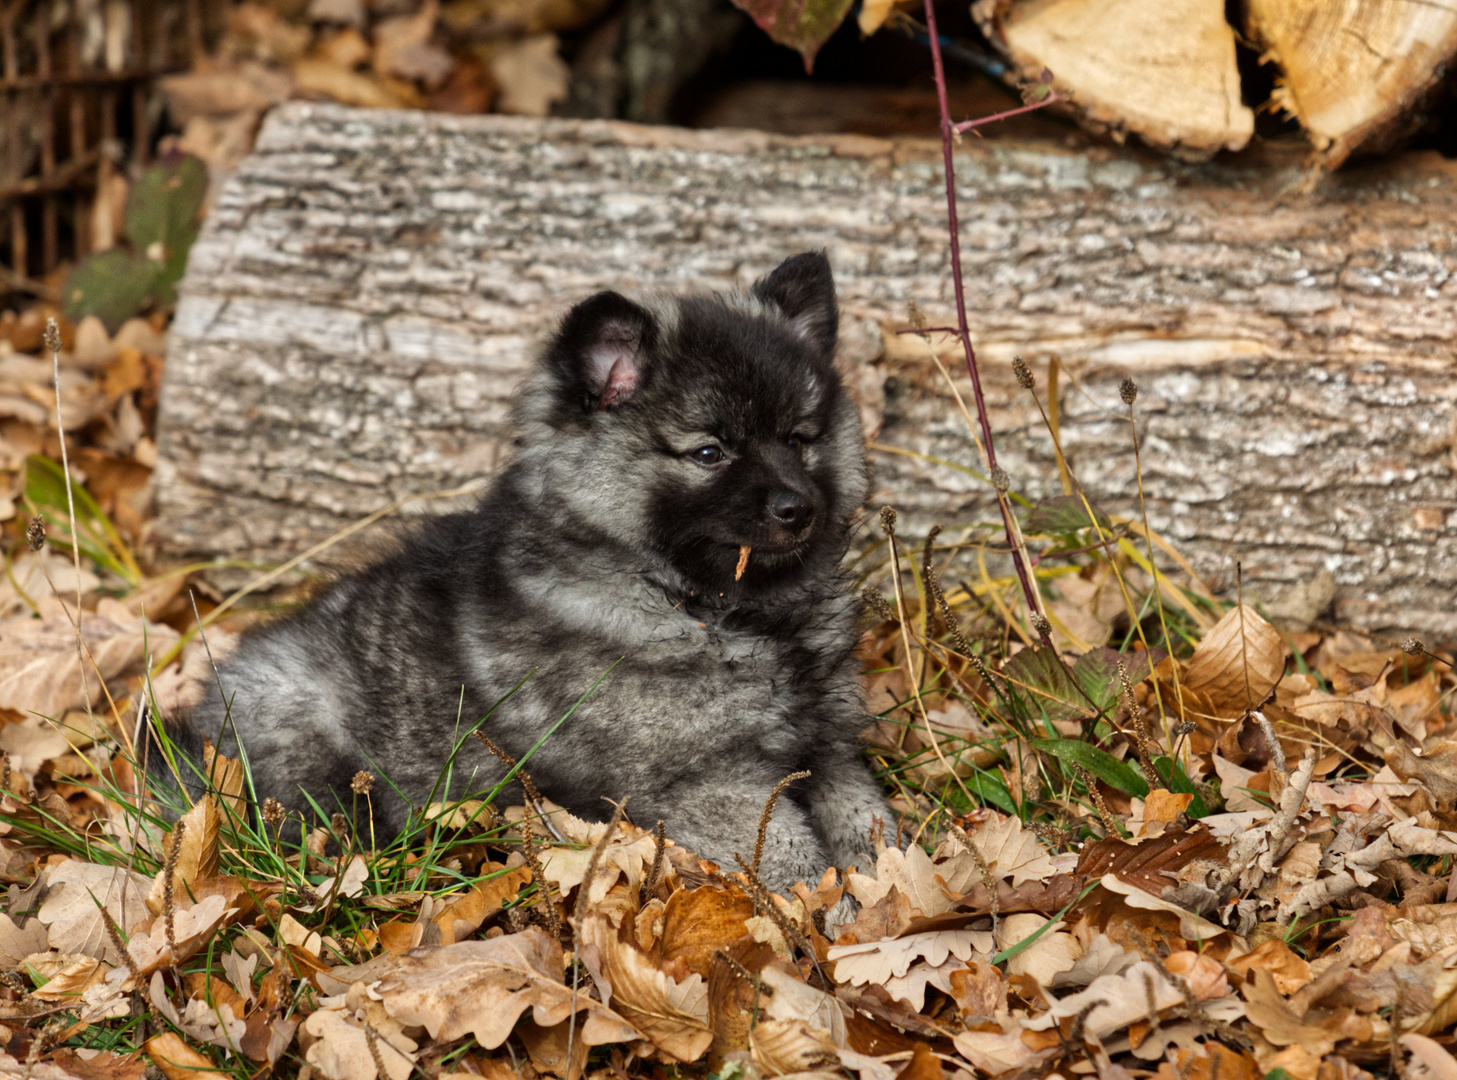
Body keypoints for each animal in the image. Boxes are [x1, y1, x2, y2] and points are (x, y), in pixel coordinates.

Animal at [156, 252, 885, 891]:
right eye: (710, 453)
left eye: (799, 438)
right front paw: (826, 923)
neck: (703, 605)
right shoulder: (711, 786)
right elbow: (794, 856)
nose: (800, 508)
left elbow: (871, 823)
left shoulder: (830, 752)